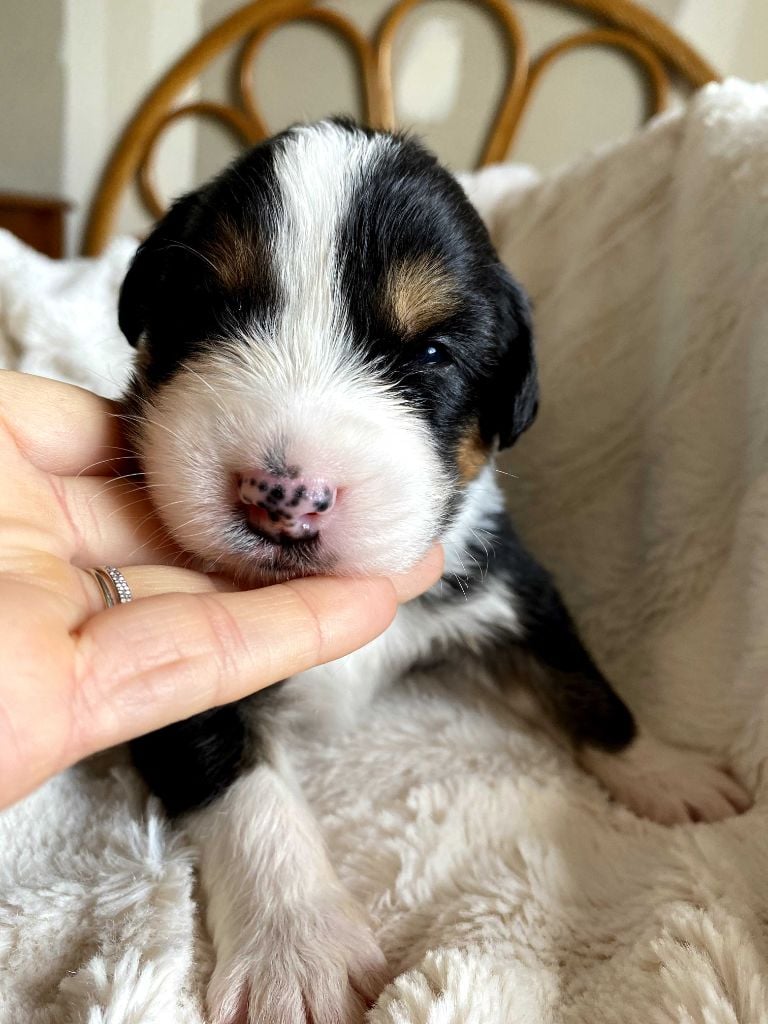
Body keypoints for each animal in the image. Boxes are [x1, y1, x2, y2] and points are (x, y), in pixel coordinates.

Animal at [120, 117, 753, 1024]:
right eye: (206, 313)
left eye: (432, 351)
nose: (285, 497)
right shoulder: (179, 666)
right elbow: (246, 792)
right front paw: (298, 950)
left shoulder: (503, 575)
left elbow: (582, 679)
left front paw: (666, 770)